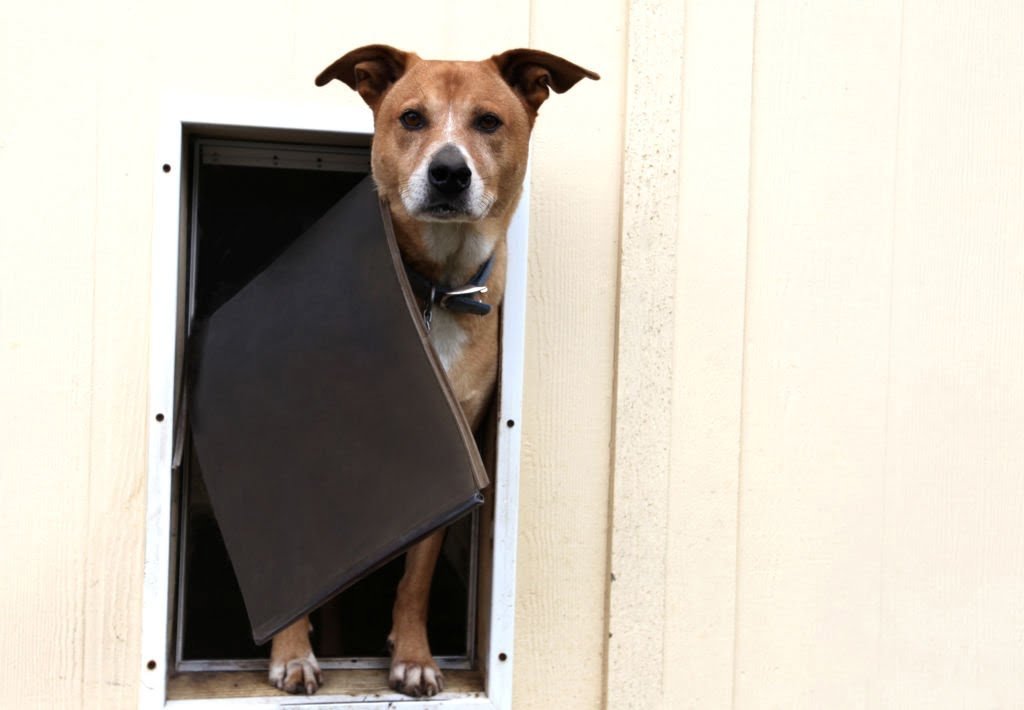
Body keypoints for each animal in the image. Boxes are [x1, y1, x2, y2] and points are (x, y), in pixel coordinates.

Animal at [268, 45, 598, 696]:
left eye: (489, 121)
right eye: (412, 118)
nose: (449, 172)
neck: (437, 288)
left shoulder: (447, 458)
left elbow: (416, 575)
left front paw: (413, 655)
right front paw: (291, 652)